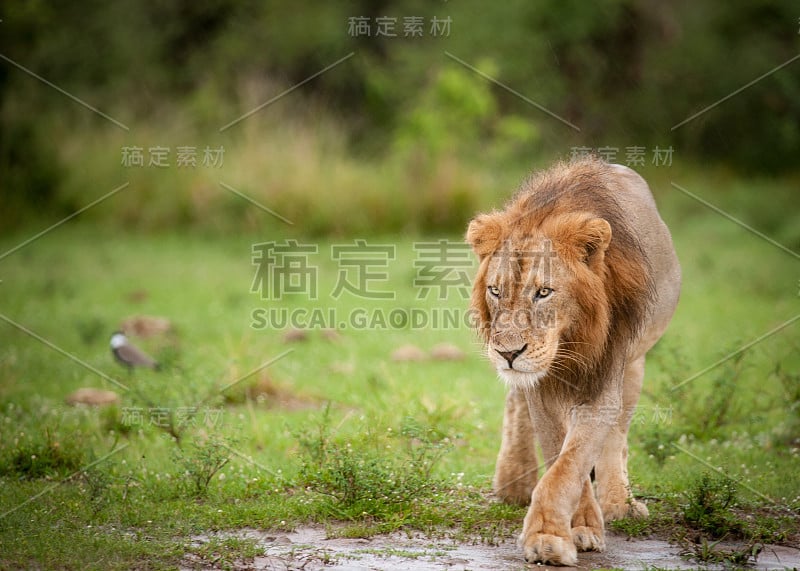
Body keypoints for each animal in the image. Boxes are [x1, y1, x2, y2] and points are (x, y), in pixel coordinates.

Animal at [468, 158, 680, 568]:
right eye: (495, 290)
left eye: (543, 292)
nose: (508, 353)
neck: (570, 340)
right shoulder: (540, 387)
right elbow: (560, 456)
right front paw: (567, 530)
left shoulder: (605, 376)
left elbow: (574, 459)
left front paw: (553, 536)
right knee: (516, 404)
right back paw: (514, 483)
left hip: (635, 365)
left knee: (617, 436)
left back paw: (620, 503)